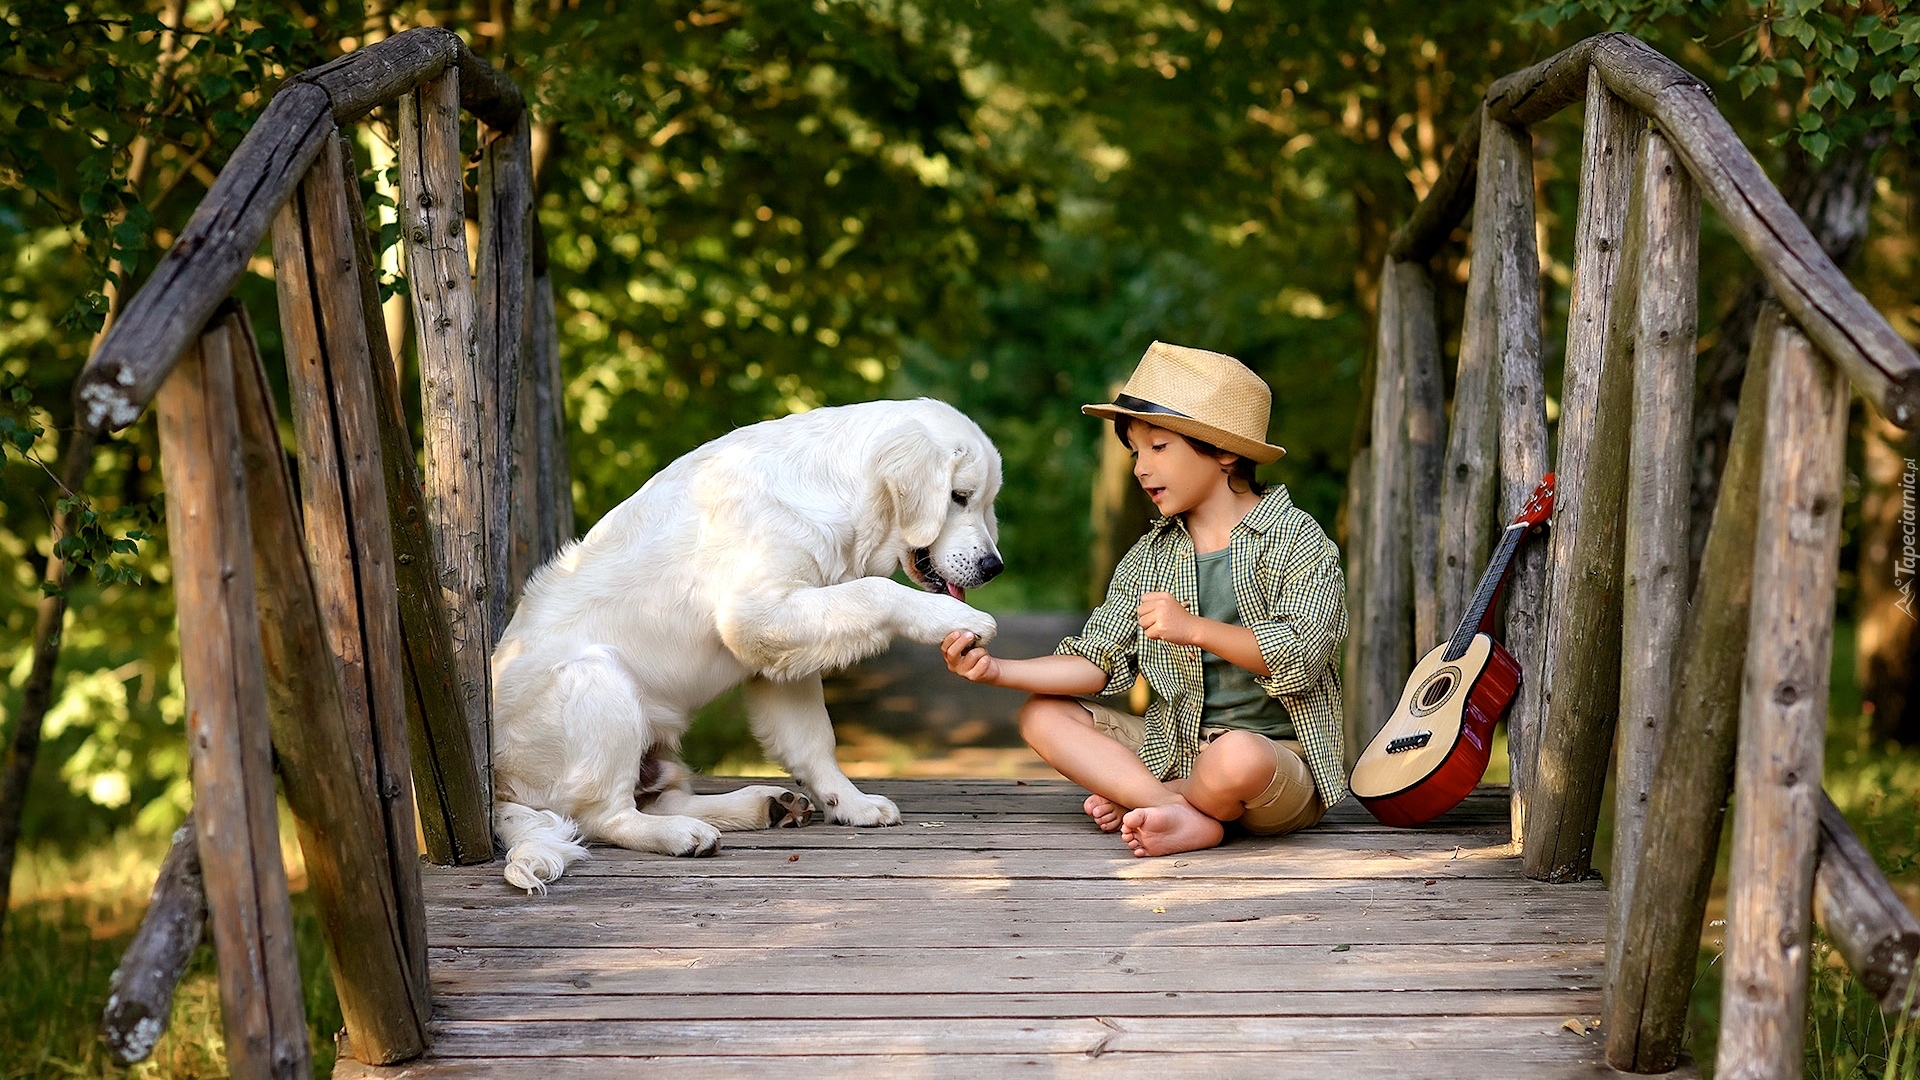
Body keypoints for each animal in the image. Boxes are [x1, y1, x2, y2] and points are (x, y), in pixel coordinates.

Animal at [487, 395, 1006, 891]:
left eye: (984, 503)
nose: (993, 567)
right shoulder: (756, 615)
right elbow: (875, 591)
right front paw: (958, 618)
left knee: (655, 800)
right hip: (597, 679)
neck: (836, 491)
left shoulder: (785, 653)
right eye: (958, 497)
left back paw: (765, 805)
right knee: (603, 816)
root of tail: (497, 784)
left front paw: (850, 803)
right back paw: (684, 834)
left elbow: (813, 741)